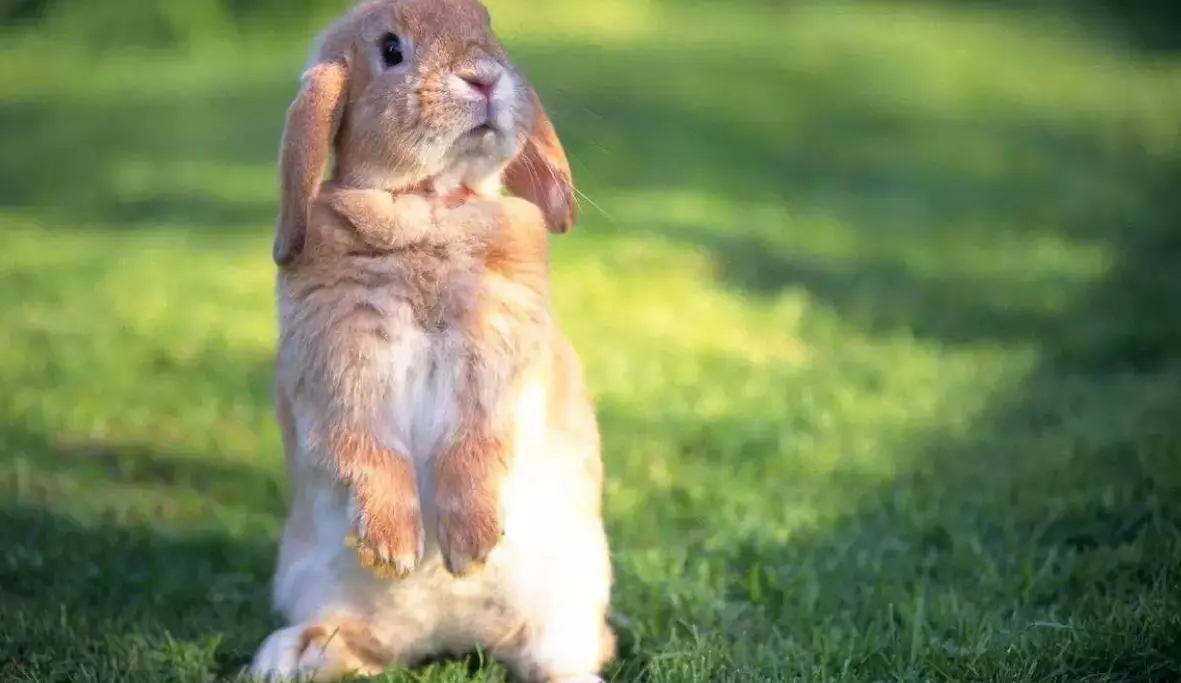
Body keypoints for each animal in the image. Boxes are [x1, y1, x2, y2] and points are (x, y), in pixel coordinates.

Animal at [249, 1, 618, 680]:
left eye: (489, 23)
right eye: (391, 49)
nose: (485, 77)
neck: (429, 204)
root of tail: (447, 635)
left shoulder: (497, 363)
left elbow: (475, 444)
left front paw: (469, 546)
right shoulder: (341, 370)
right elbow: (367, 448)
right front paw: (394, 549)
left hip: (568, 605)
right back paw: (293, 653)